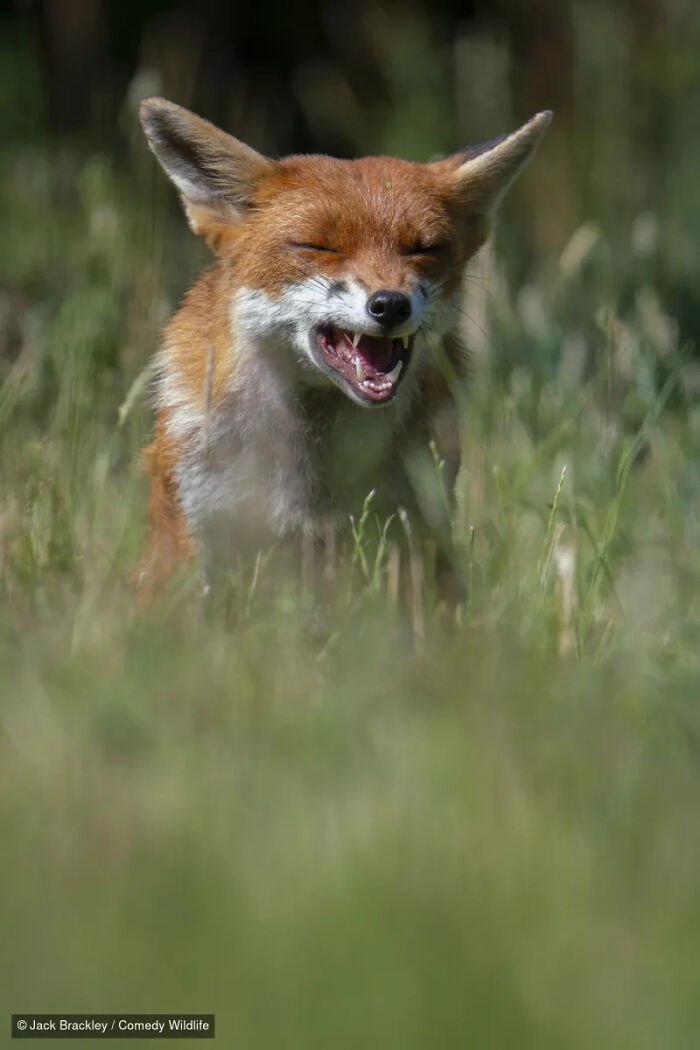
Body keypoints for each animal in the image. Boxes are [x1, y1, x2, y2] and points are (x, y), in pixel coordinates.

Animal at [137, 97, 551, 596]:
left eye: (423, 249)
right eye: (319, 246)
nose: (390, 304)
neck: (314, 474)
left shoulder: (414, 525)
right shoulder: (197, 526)